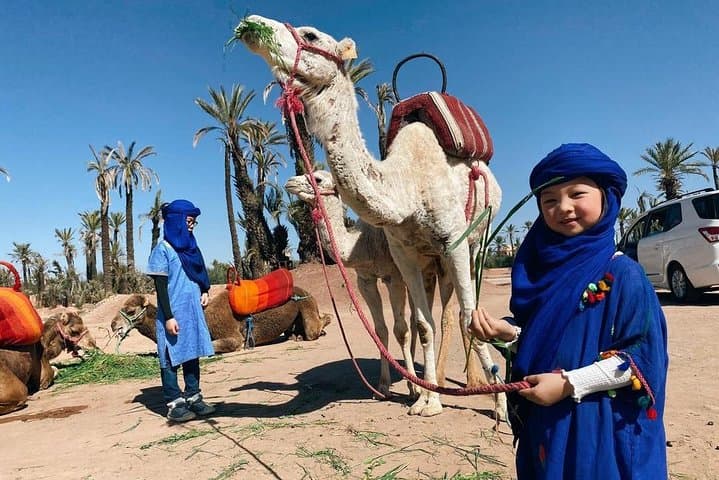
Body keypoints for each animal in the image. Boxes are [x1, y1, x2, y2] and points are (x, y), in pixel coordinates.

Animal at [111, 288, 332, 353]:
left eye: (130, 310)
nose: (113, 325)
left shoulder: (232, 336)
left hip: (307, 305)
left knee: (315, 327)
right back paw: (295, 336)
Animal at [239, 16, 503, 416]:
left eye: (311, 34)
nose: (252, 23)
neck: (406, 189)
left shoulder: (447, 246)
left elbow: (455, 320)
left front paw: (497, 405)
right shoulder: (398, 259)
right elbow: (416, 326)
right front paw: (420, 397)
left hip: (473, 243)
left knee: (458, 312)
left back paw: (471, 383)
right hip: (430, 262)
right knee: (433, 314)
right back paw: (437, 381)